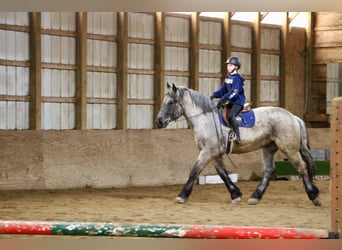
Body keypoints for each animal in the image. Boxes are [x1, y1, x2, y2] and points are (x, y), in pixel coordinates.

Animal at [155, 83, 320, 206]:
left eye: (170, 102)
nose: (159, 122)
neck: (205, 119)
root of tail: (293, 117)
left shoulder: (207, 152)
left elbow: (194, 171)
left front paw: (182, 195)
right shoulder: (214, 153)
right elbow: (222, 173)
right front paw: (236, 195)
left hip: (289, 149)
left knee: (302, 167)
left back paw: (314, 196)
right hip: (269, 148)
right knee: (269, 170)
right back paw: (255, 197)